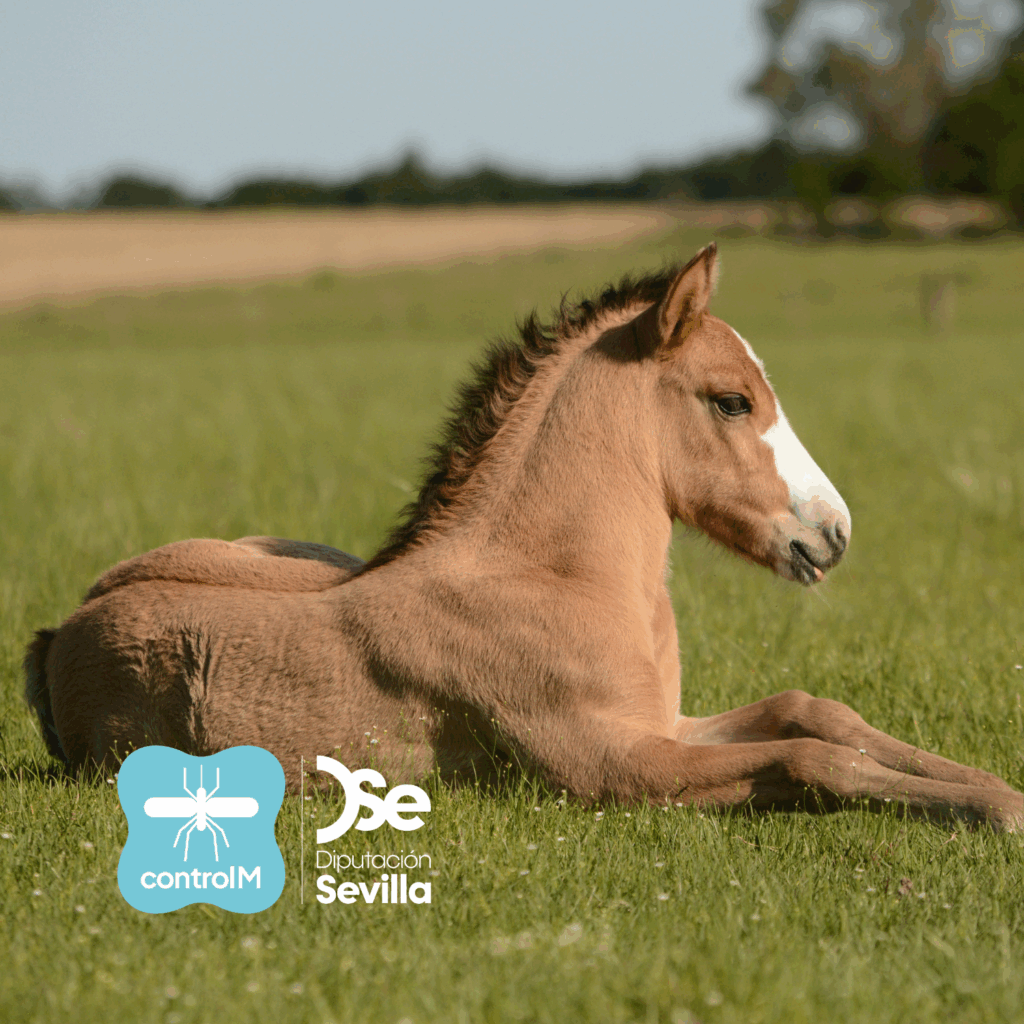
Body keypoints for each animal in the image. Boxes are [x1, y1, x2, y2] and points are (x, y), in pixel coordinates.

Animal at [23, 244, 1022, 830]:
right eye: (732, 401)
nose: (833, 532)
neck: (555, 580)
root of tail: (58, 630)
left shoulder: (664, 724)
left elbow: (815, 713)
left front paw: (991, 788)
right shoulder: (616, 766)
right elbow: (812, 757)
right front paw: (991, 811)